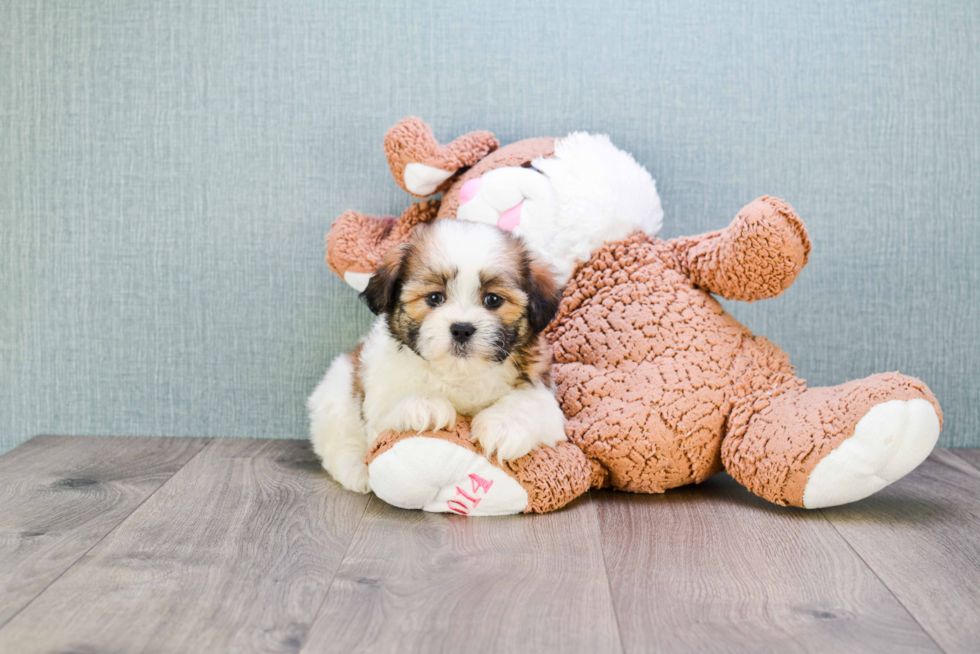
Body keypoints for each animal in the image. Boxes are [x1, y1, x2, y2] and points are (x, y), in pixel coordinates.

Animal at [306, 219, 568, 492]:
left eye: (493, 300)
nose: (462, 328)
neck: (458, 372)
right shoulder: (378, 399)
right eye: (434, 298)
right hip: (336, 393)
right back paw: (355, 470)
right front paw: (424, 405)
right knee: (338, 440)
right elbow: (388, 411)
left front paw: (504, 426)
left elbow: (530, 402)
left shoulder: (540, 388)